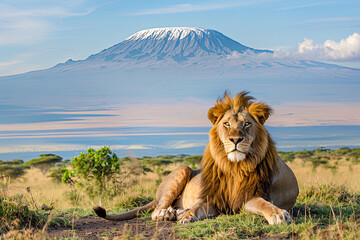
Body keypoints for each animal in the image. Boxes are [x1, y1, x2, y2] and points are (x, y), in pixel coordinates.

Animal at [93, 91, 298, 224]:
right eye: (226, 124)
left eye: (247, 124)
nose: (235, 139)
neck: (234, 167)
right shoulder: (213, 199)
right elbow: (197, 207)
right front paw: (187, 216)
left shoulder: (248, 197)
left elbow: (264, 204)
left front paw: (278, 214)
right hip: (182, 170)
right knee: (157, 210)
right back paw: (168, 214)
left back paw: (175, 212)